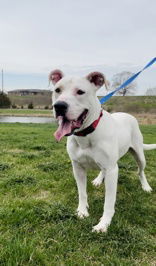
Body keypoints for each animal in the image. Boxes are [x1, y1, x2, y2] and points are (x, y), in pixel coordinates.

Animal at [49, 70, 156, 233]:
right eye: (57, 90)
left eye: (80, 92)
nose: (59, 106)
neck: (86, 134)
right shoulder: (77, 167)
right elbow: (82, 192)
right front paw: (82, 211)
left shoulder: (112, 170)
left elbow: (109, 201)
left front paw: (104, 224)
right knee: (103, 170)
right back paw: (99, 180)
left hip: (139, 154)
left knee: (140, 171)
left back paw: (145, 186)